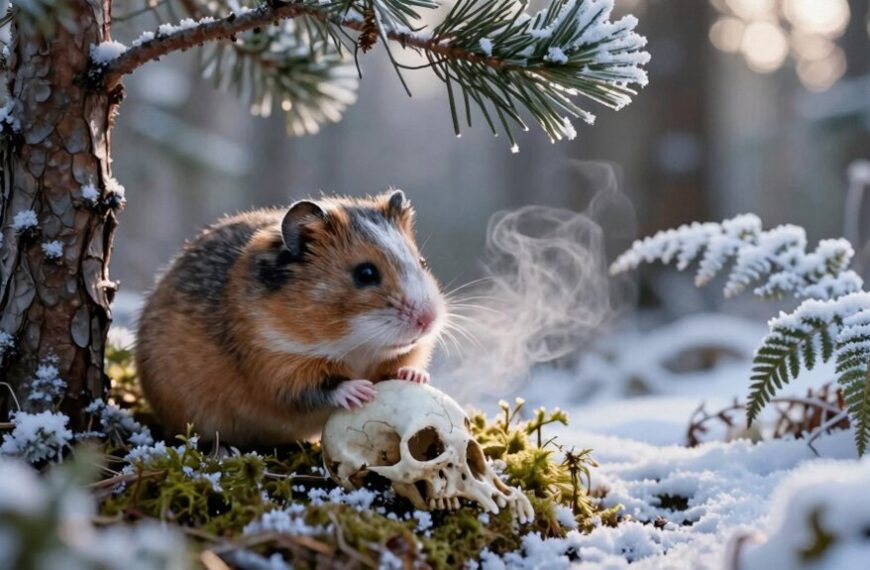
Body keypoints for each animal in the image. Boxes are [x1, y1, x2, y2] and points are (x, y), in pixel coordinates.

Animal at [135, 190, 445, 446]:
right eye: (365, 273)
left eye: (423, 263)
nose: (428, 320)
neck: (354, 345)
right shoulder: (277, 366)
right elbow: (322, 387)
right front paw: (360, 392)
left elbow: (403, 364)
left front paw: (415, 376)